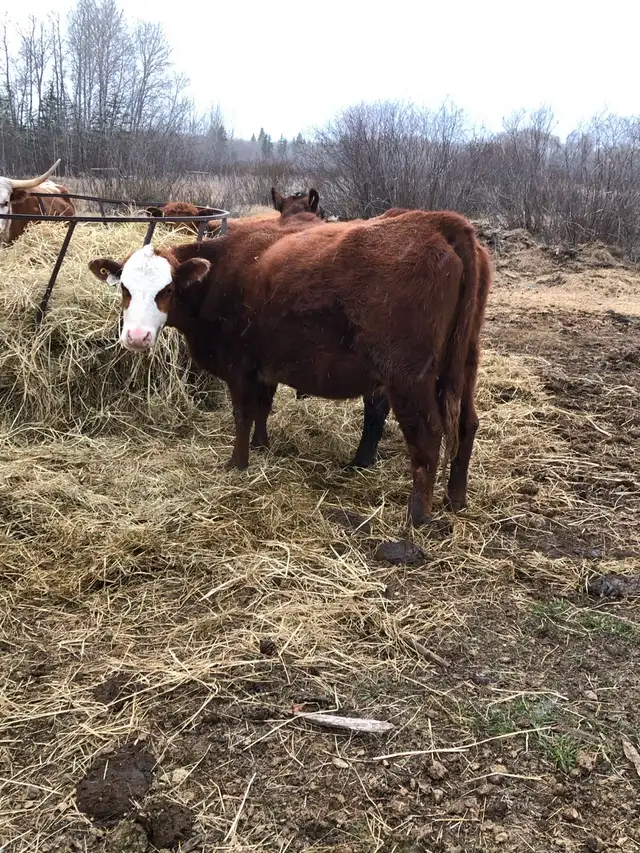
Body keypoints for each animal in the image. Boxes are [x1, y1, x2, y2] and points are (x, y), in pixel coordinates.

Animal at [89, 209, 488, 526]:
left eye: (167, 290)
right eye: (124, 289)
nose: (136, 336)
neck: (224, 271)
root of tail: (436, 221)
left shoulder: (239, 366)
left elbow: (242, 413)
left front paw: (238, 462)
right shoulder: (265, 365)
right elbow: (263, 409)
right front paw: (262, 446)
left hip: (408, 377)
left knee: (428, 436)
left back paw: (417, 515)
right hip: (465, 364)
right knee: (466, 425)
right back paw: (456, 499)